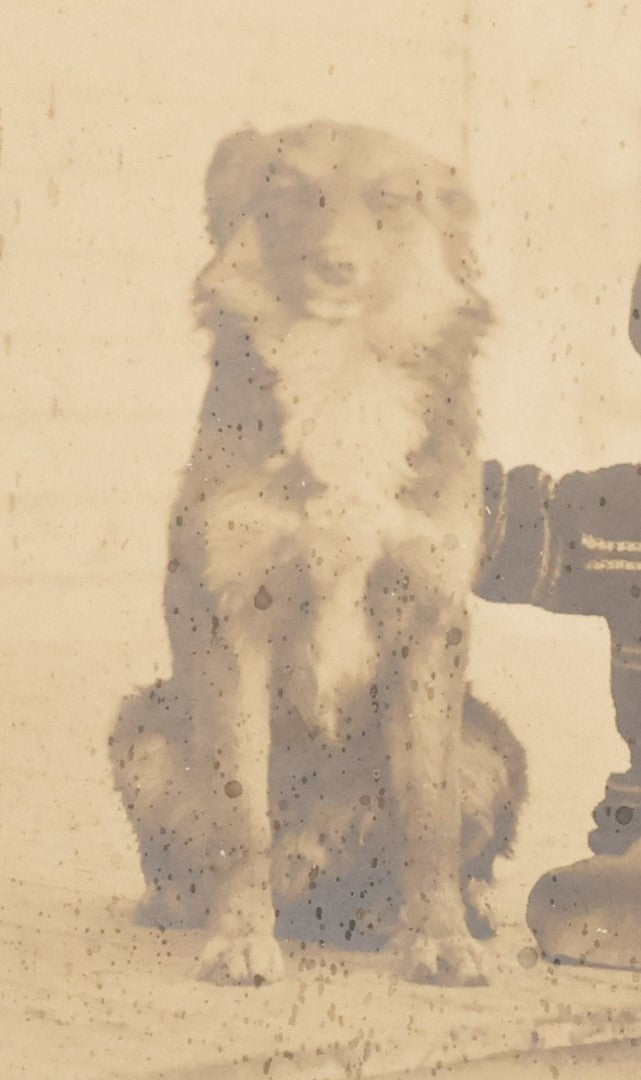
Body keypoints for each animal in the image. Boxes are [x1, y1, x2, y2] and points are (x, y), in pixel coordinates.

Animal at [108, 122, 524, 984]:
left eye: (392, 199)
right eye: (294, 194)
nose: (337, 266)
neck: (344, 368)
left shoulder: (430, 614)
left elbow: (427, 810)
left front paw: (438, 939)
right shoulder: (231, 609)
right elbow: (240, 811)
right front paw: (239, 937)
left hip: (495, 743)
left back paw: (432, 914)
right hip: (142, 727)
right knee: (197, 849)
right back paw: (182, 905)